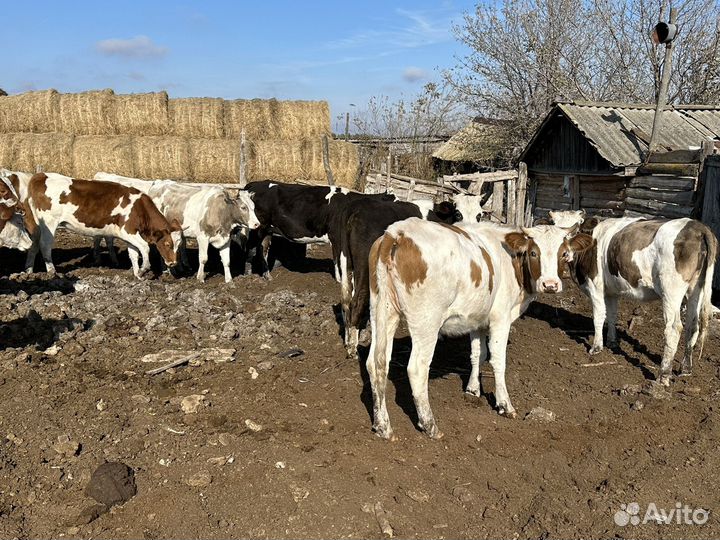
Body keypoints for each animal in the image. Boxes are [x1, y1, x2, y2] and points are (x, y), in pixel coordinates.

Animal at [24, 173, 180, 279]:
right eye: (167, 244)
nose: (173, 263)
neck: (139, 207)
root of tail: (41, 176)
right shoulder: (127, 230)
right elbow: (145, 247)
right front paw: (143, 269)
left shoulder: (130, 234)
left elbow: (134, 253)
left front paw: (137, 274)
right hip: (49, 223)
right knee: (45, 245)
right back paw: (52, 272)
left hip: (37, 225)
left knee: (34, 244)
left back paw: (29, 271)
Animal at [94, 173, 260, 283]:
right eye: (243, 207)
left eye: (253, 206)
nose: (256, 224)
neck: (220, 211)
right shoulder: (202, 237)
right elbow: (203, 258)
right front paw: (200, 277)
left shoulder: (225, 238)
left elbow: (226, 261)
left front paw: (229, 280)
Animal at [332, 197, 460, 358]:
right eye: (458, 214)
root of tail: (356, 206)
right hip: (364, 265)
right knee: (357, 300)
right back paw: (352, 349)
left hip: (345, 260)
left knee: (346, 299)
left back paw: (348, 338)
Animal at [366, 218, 593, 439]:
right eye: (534, 253)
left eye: (564, 253)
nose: (550, 285)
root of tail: (397, 232)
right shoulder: (501, 317)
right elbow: (498, 360)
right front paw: (505, 405)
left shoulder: (477, 318)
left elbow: (478, 354)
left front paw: (473, 389)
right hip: (426, 320)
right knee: (417, 368)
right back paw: (430, 426)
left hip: (382, 312)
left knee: (376, 363)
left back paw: (383, 426)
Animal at [565, 216, 717, 386]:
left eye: (572, 233)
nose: (564, 254)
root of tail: (697, 226)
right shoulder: (611, 292)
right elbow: (611, 316)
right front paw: (612, 342)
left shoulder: (595, 286)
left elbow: (598, 317)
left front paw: (596, 348)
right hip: (696, 289)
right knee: (693, 326)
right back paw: (685, 369)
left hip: (671, 290)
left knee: (673, 329)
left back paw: (663, 376)